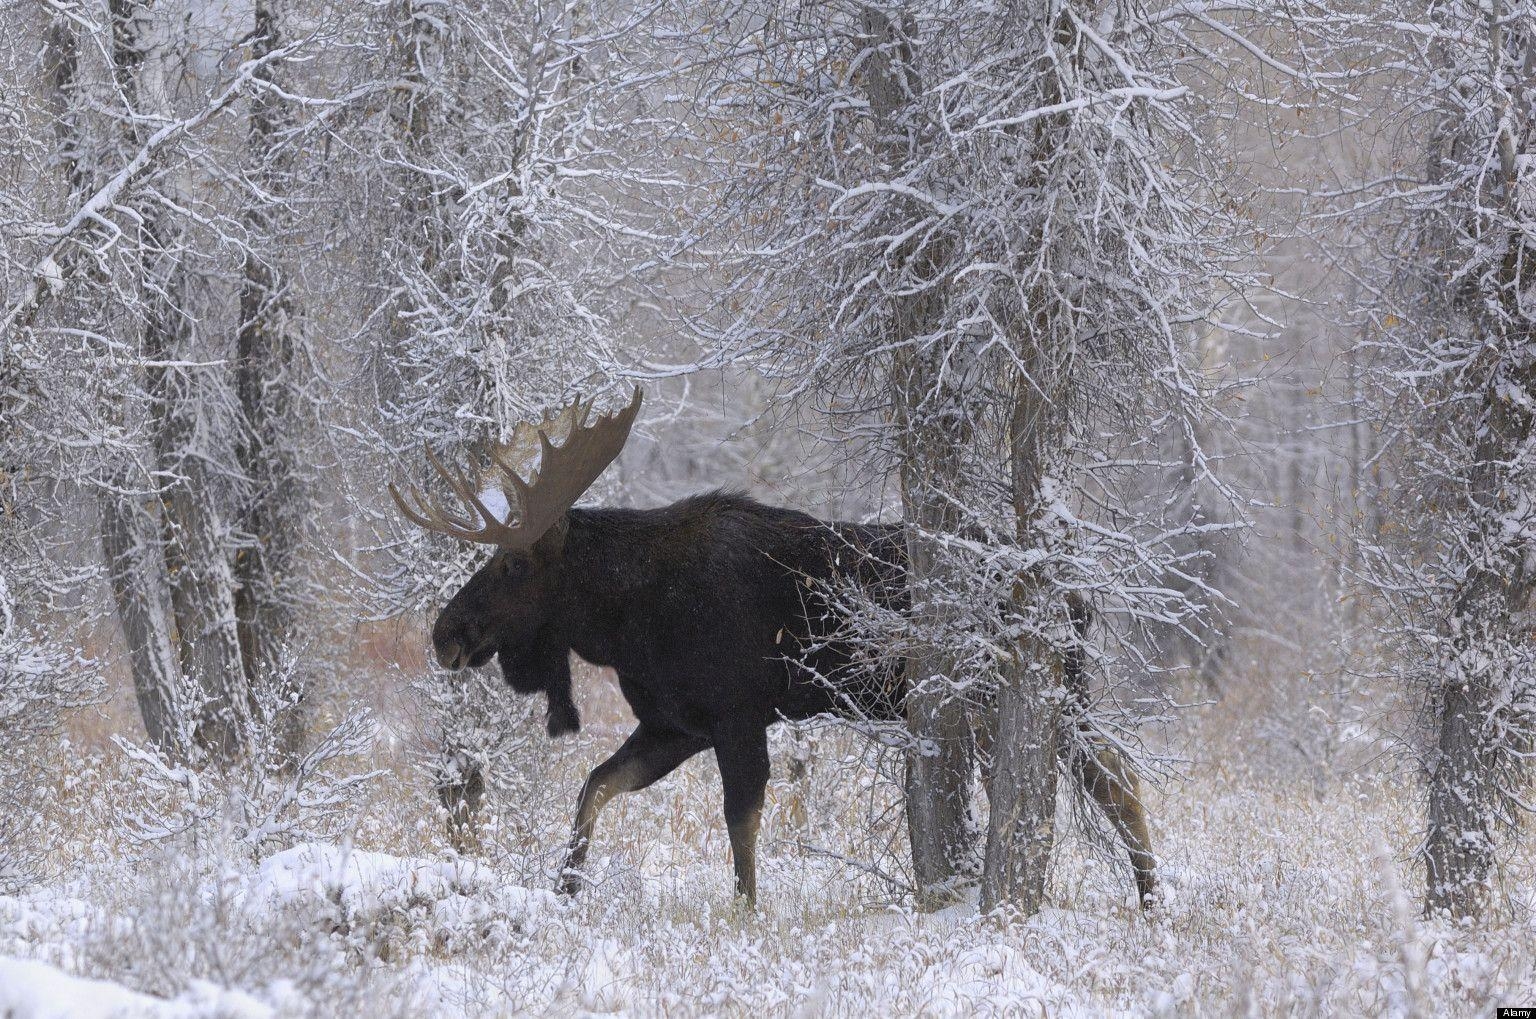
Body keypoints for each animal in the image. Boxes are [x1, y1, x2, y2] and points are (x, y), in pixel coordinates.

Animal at [390, 390, 1155, 909]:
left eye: (514, 565)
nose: (445, 632)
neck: (626, 621)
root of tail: (1081, 596)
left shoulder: (737, 715)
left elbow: (741, 825)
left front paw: (747, 915)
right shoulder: (676, 723)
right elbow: (595, 786)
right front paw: (565, 888)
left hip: (1019, 688)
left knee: (1108, 775)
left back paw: (1150, 897)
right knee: (1108, 772)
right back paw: (1149, 899)